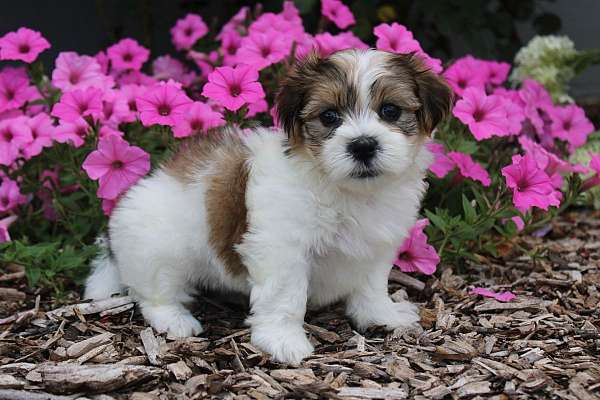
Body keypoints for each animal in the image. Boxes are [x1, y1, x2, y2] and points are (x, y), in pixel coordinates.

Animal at [83, 48, 450, 364]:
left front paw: (382, 315)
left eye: (390, 110)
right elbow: (285, 295)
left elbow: (372, 284)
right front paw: (282, 340)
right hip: (157, 247)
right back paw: (174, 319)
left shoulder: (378, 244)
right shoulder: (281, 247)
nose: (362, 145)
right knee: (154, 291)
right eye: (329, 116)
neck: (348, 191)